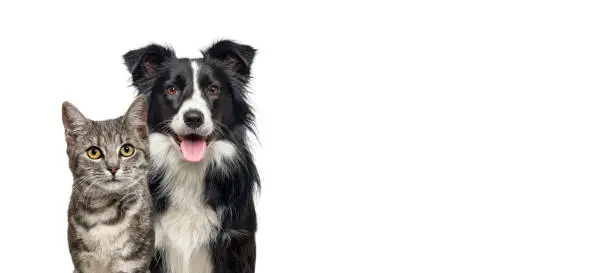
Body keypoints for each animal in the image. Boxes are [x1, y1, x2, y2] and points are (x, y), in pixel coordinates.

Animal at [62, 94, 154, 272]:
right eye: (94, 152)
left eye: (127, 149)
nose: (113, 168)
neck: (104, 210)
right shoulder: (81, 261)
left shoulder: (133, 261)